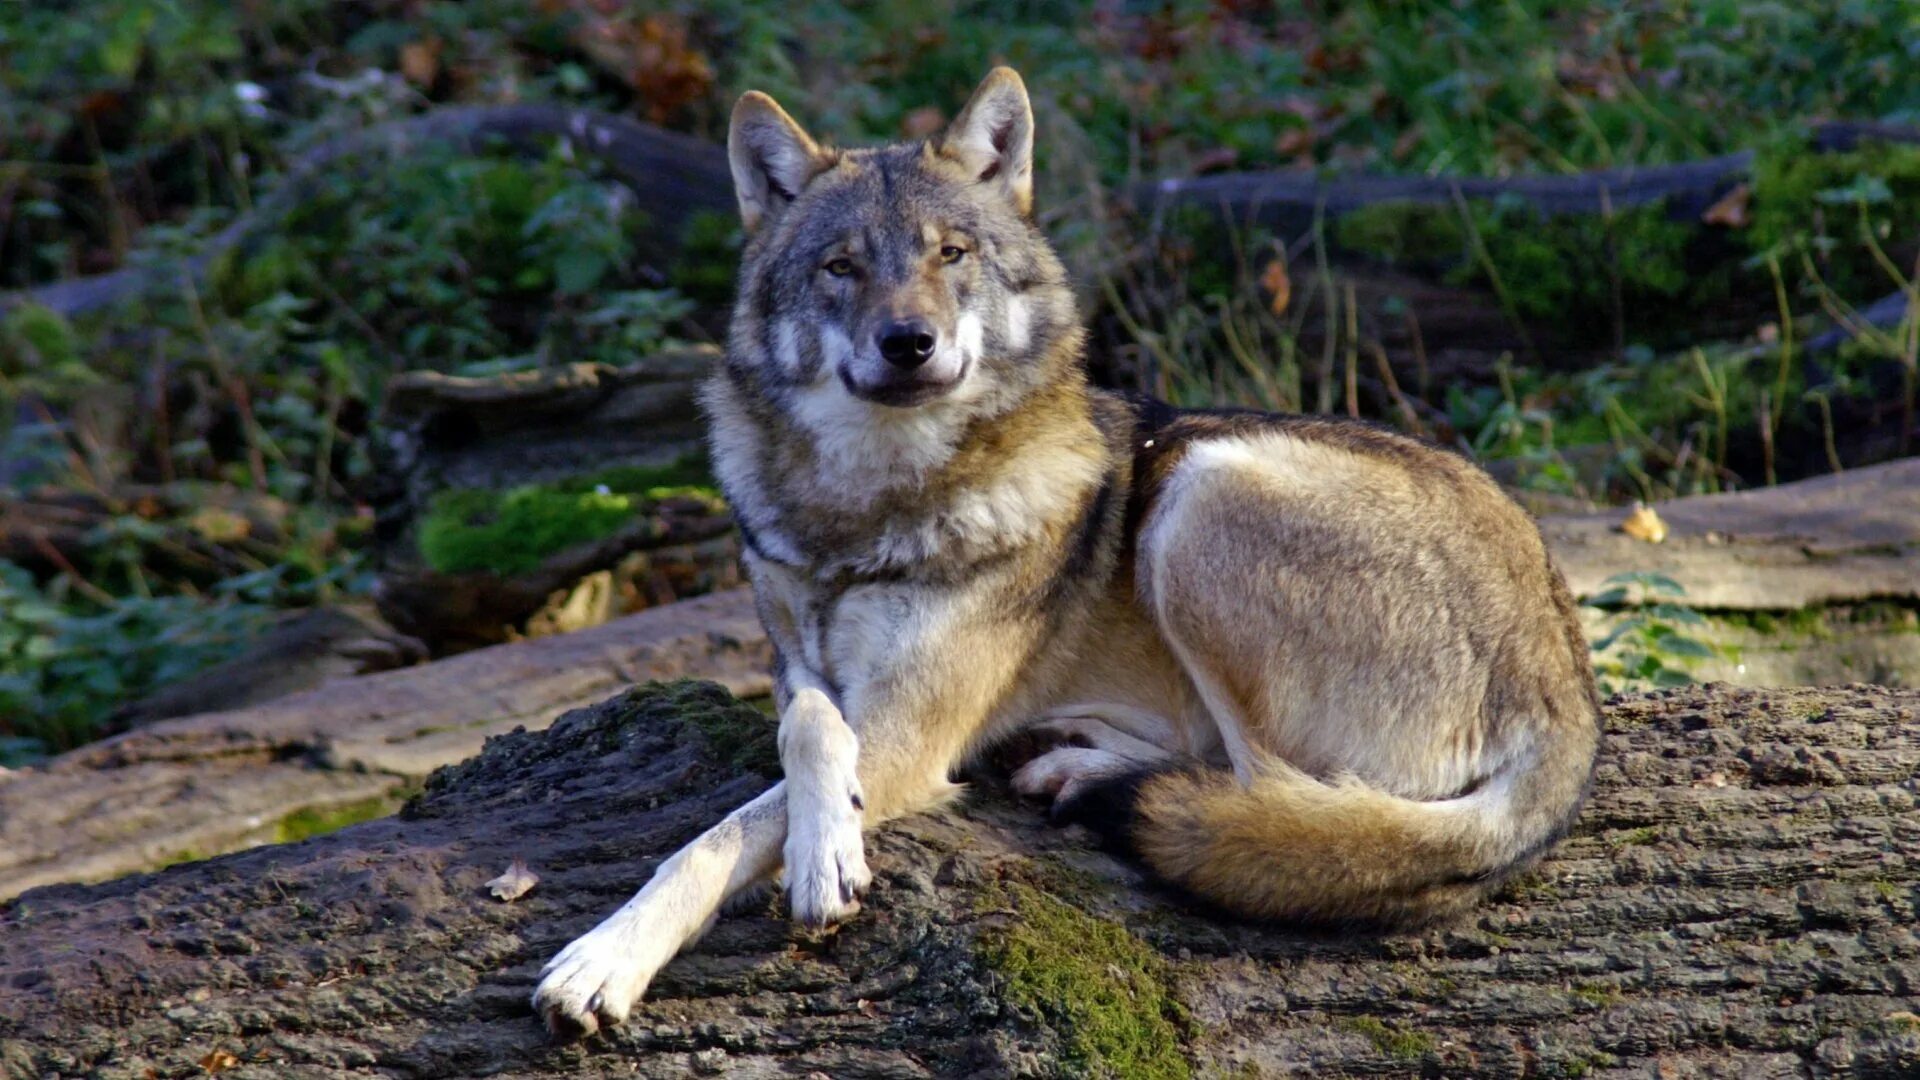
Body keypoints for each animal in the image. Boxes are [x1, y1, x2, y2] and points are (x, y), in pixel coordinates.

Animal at [529, 67, 1605, 1037]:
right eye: (841, 266)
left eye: (951, 253)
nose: (908, 341)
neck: (868, 508)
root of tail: (1570, 684)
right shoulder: (805, 670)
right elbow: (804, 727)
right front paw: (809, 837)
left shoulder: (912, 732)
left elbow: (725, 832)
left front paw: (622, 950)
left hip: (1203, 489)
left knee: (1274, 798)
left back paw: (1089, 777)